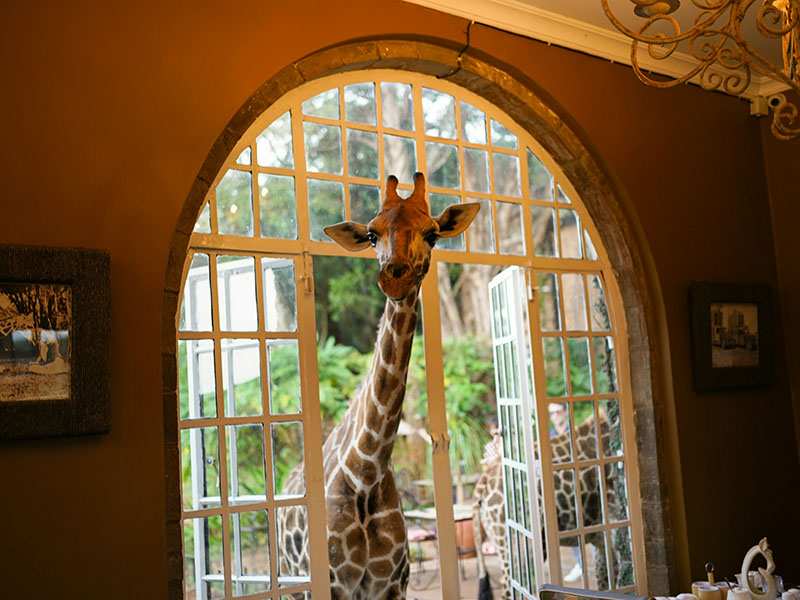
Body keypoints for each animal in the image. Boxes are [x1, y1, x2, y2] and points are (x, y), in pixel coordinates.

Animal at [278, 172, 479, 600]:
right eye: (372, 234)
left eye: (433, 233)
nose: (394, 275)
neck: (366, 471)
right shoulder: (334, 585)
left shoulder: (391, 584)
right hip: (293, 582)